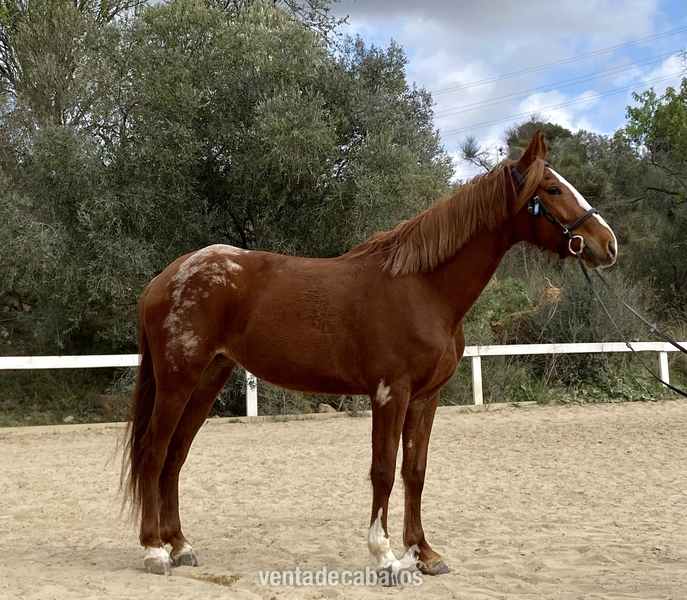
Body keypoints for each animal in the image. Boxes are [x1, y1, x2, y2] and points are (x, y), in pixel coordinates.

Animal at [122, 131, 618, 577]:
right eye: (552, 189)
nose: (608, 244)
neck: (424, 288)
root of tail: (164, 278)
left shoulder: (425, 398)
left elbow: (414, 471)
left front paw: (425, 554)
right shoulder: (389, 394)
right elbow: (383, 470)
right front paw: (386, 557)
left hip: (209, 378)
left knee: (175, 457)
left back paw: (181, 546)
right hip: (177, 380)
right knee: (153, 451)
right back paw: (153, 551)